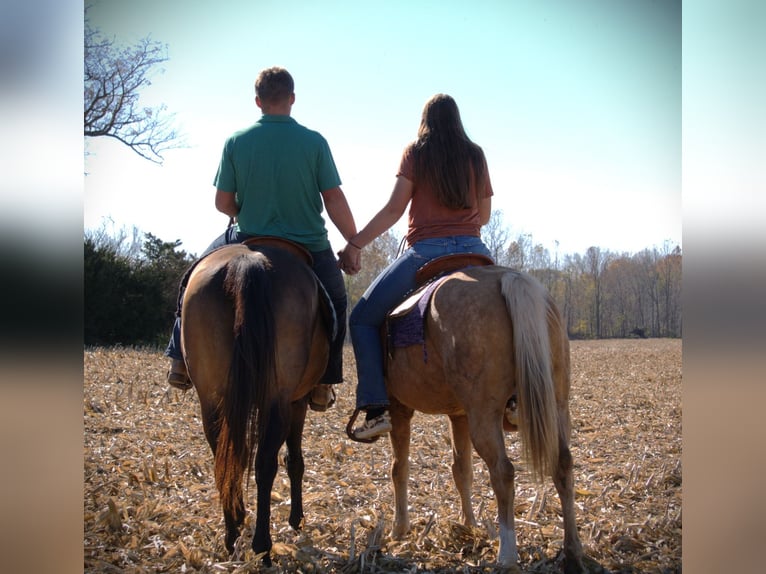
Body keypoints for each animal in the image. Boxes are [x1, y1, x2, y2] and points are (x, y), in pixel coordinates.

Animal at [180, 238, 333, 565]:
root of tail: (248, 262)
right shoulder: (296, 403)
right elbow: (294, 461)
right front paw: (296, 520)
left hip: (212, 398)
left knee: (226, 459)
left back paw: (233, 533)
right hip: (278, 400)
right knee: (265, 465)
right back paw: (262, 546)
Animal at [351, 260, 585, 573]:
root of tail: (510, 278)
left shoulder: (400, 410)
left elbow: (399, 469)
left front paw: (399, 530)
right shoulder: (459, 415)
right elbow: (462, 470)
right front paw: (469, 525)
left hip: (483, 415)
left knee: (503, 472)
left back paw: (507, 555)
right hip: (557, 406)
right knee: (562, 465)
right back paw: (572, 552)